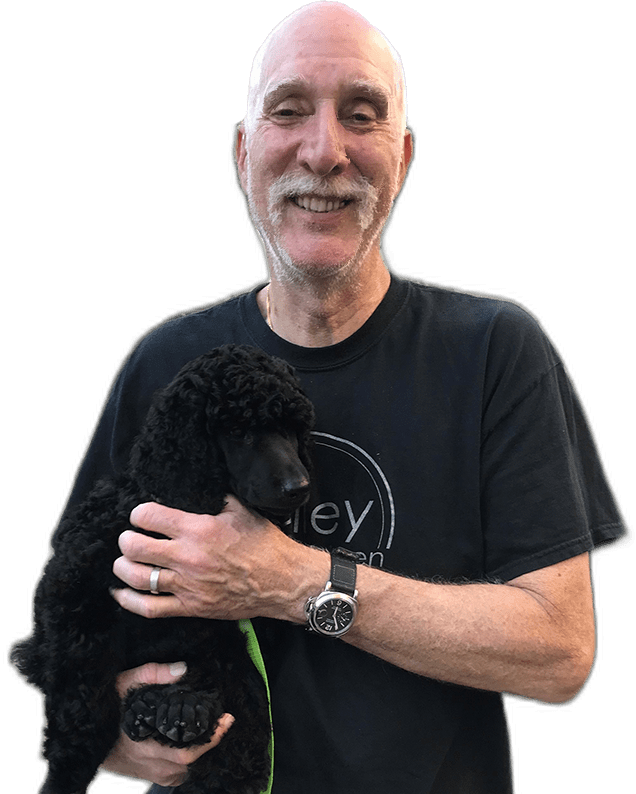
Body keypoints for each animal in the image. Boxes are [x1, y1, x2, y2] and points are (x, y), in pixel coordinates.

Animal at [8, 344, 316, 792]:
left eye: (292, 429)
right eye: (238, 431)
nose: (299, 487)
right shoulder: (72, 600)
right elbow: (81, 707)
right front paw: (65, 775)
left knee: (239, 739)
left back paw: (178, 710)